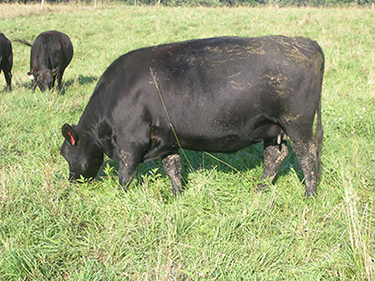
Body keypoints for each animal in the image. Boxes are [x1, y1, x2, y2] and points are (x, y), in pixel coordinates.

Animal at [60, 36, 324, 196]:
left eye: (65, 154)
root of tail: (306, 43)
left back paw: (310, 195)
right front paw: (177, 195)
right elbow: (172, 168)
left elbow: (125, 175)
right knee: (275, 156)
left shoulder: (131, 140)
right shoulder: (166, 139)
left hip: (297, 122)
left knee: (308, 156)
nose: (72, 183)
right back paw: (260, 188)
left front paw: (120, 197)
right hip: (272, 127)